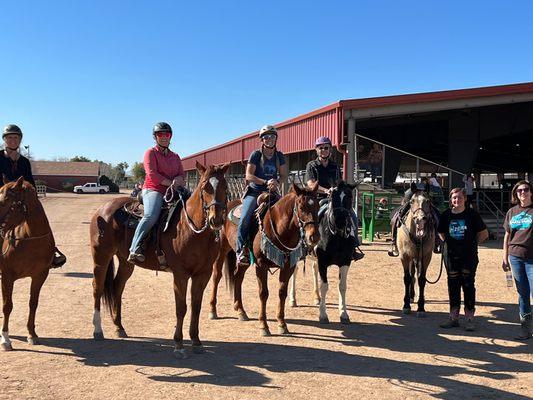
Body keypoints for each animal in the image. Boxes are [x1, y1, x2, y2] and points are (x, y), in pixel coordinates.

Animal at [0, 177, 57, 350]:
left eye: (5, 201)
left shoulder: (40, 276)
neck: (30, 239)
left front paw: (32, 334)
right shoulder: (7, 277)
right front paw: (5, 339)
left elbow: (33, 303)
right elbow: (7, 306)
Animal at [90, 161, 231, 358]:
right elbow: (181, 308)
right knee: (97, 288)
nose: (215, 220)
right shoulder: (180, 275)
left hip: (126, 262)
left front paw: (196, 341)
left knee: (117, 287)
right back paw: (97, 330)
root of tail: (102, 211)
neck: (190, 228)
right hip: (101, 257)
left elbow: (196, 307)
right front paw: (178, 344)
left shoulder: (203, 274)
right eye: (205, 187)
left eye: (225, 187)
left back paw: (119, 327)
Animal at [286, 181, 358, 324]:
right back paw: (293, 300)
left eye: (349, 197)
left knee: (314, 271)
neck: (337, 236)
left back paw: (317, 298)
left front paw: (344, 313)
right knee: (294, 273)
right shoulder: (323, 262)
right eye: (332, 197)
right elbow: (324, 286)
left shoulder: (346, 262)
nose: (340, 221)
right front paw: (323, 315)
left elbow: (342, 286)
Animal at [396, 183, 434, 318]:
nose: (420, 219)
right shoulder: (404, 256)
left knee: (415, 275)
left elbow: (421, 279)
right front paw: (406, 305)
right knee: (411, 275)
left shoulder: (426, 257)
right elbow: (407, 278)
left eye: (428, 201)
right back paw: (411, 296)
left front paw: (421, 307)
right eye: (412, 201)